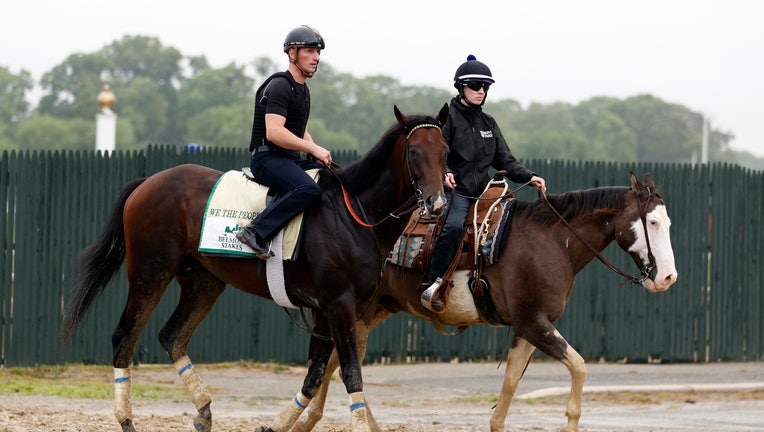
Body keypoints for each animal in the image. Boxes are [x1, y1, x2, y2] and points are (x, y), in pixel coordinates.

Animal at [61, 104, 454, 432]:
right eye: (414, 152)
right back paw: (126, 419)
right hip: (150, 272)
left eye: (446, 152)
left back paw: (203, 411)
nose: (436, 203)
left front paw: (276, 425)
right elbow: (351, 375)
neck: (355, 214)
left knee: (172, 336)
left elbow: (315, 376)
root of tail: (149, 181)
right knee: (125, 336)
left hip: (203, 281)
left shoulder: (330, 311)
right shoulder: (339, 305)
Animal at [290, 171, 676, 432]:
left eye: (667, 221)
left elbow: (509, 386)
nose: (668, 277)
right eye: (652, 221)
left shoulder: (526, 329)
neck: (551, 241)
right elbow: (579, 367)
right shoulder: (535, 324)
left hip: (370, 310)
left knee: (338, 361)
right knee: (338, 363)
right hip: (350, 309)